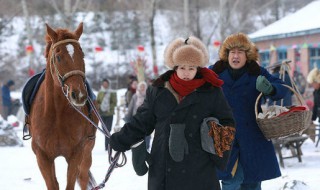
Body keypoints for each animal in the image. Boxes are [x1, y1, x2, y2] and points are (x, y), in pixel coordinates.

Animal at [28, 23, 96, 189]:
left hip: (87, 152)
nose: (79, 94)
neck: (57, 113)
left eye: (82, 55)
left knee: (83, 178)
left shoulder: (76, 153)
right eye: (58, 57)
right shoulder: (43, 156)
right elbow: (53, 185)